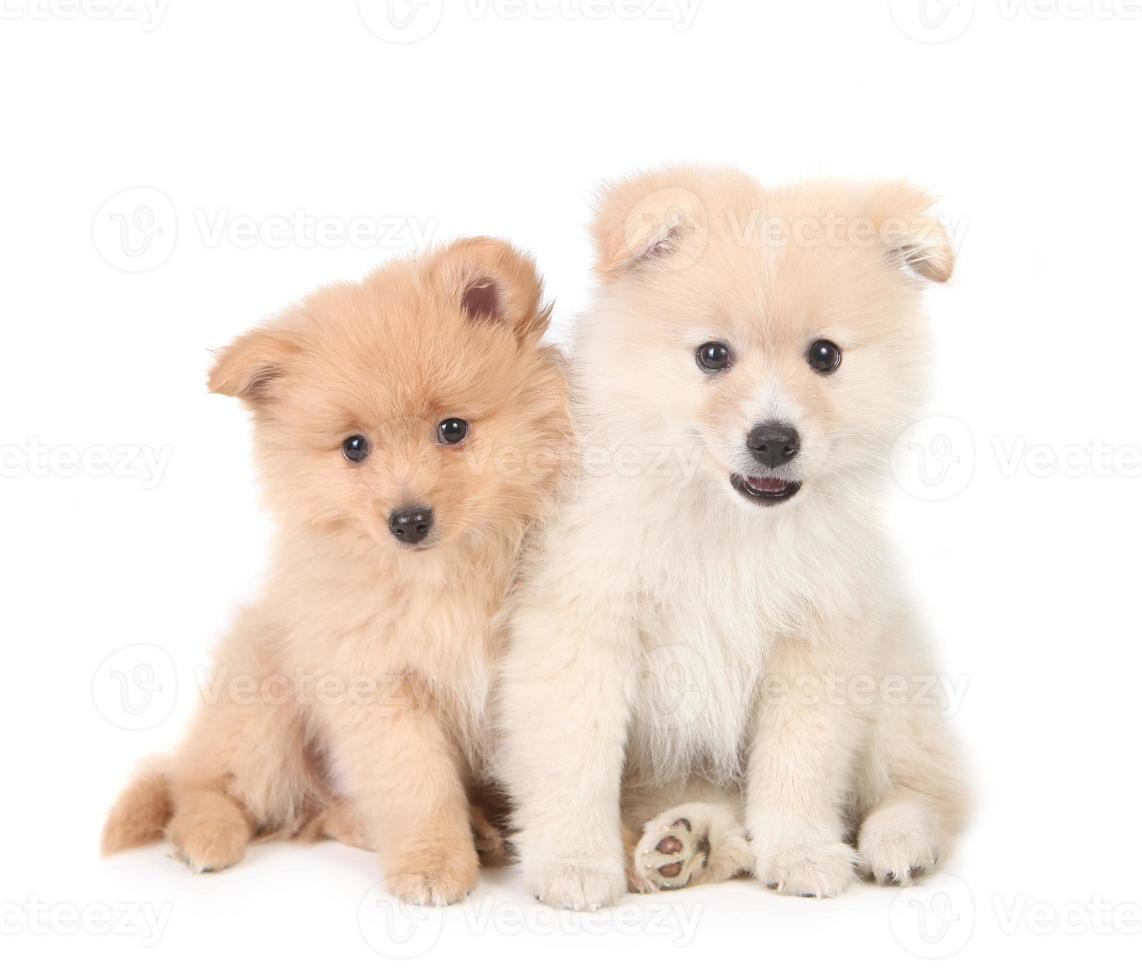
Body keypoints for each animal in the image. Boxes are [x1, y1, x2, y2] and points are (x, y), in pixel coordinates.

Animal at [102, 235, 571, 900]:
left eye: (452, 429)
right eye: (355, 447)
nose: (408, 520)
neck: (442, 577)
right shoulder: (377, 685)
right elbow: (416, 786)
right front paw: (432, 863)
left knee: (317, 810)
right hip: (262, 708)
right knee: (200, 783)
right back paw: (206, 835)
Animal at [495, 164, 968, 904]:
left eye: (825, 355)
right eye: (713, 355)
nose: (773, 441)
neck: (728, 523)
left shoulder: (817, 639)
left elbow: (798, 765)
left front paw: (801, 851)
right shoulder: (583, 627)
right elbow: (576, 762)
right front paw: (574, 863)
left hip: (895, 679)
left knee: (924, 787)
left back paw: (898, 841)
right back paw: (684, 844)